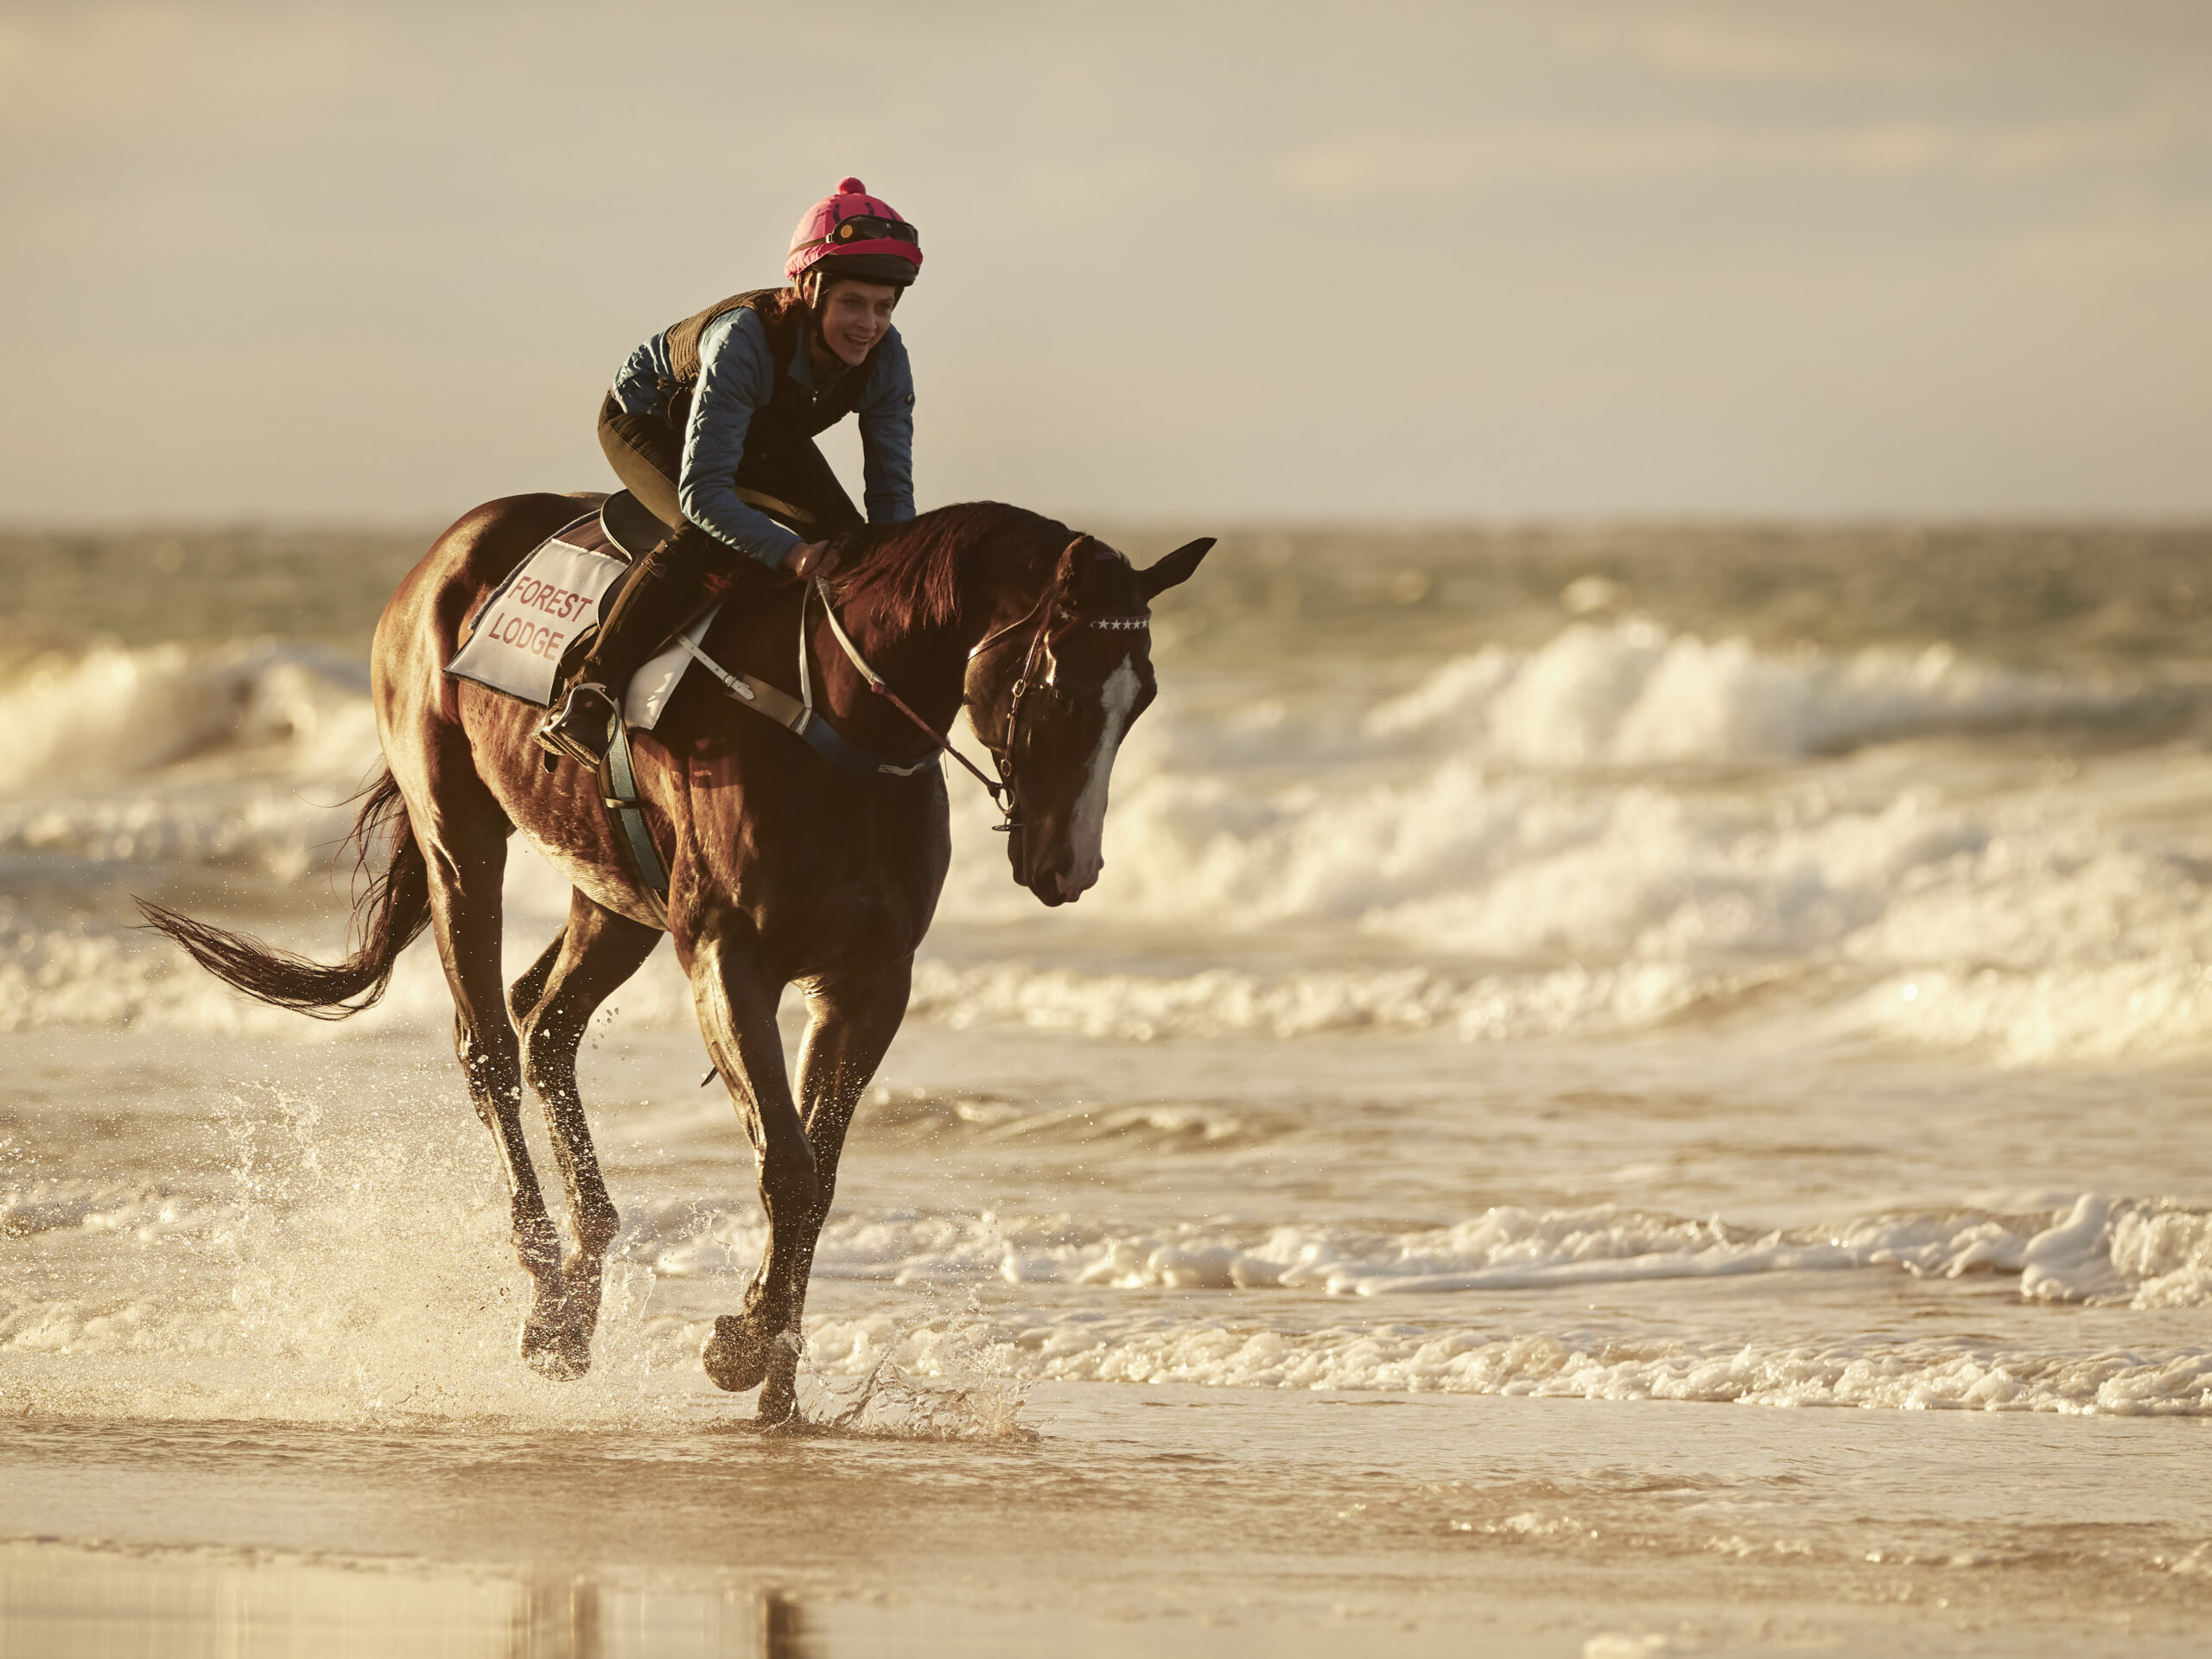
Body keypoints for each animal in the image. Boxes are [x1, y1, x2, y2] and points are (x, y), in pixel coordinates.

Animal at [140, 494, 1211, 1421]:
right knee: (489, 1048)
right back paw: (546, 1291)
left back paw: (578, 1300)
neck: (839, 728)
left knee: (547, 1026)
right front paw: (743, 1348)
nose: (1070, 865)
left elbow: (816, 1177)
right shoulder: (729, 963)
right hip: (461, 840)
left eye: (1143, 696)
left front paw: (775, 1377)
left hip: (614, 896)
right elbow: (785, 1167)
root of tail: (448, 553)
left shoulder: (867, 984)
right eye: (1056, 685)